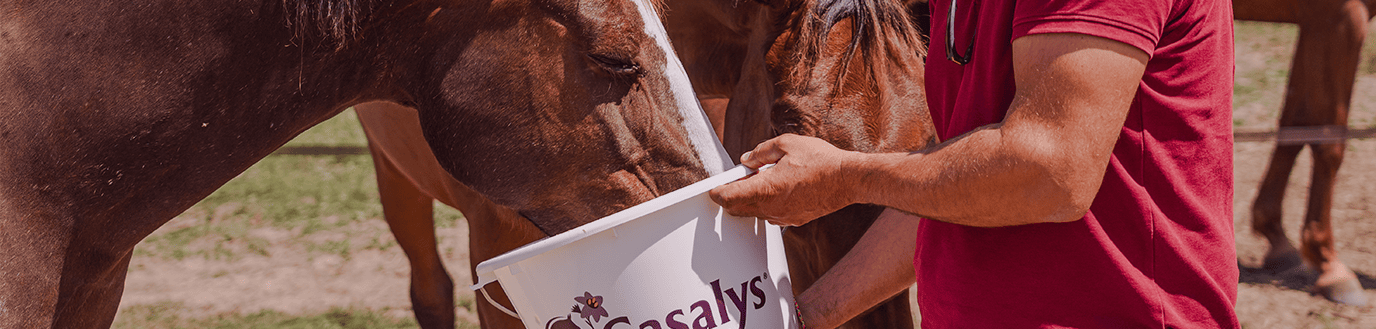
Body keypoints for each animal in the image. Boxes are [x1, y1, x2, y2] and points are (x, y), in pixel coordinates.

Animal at [1238, 0, 1376, 305]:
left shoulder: (1313, 25)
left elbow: (1296, 125)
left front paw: (1278, 242)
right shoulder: (1338, 17)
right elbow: (1328, 138)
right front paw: (1329, 265)